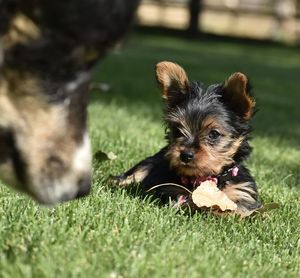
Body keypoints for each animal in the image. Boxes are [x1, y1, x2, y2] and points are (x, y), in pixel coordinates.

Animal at [113, 61, 262, 213]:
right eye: (178, 130)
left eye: (213, 134)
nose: (185, 155)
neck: (204, 179)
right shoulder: (169, 189)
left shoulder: (242, 191)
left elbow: (238, 209)